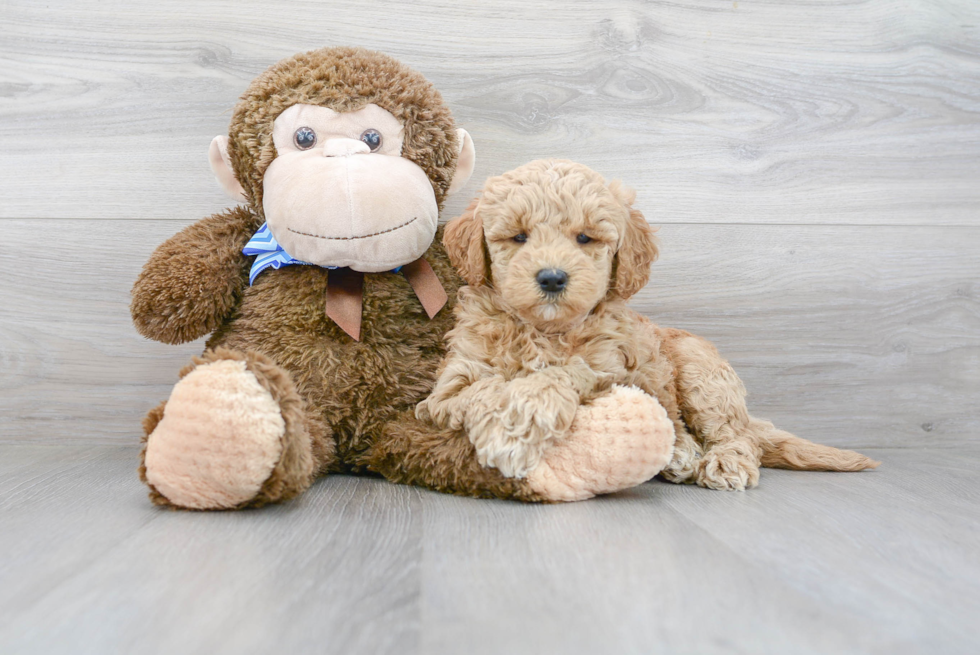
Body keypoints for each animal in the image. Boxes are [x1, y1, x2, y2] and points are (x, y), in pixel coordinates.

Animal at [416, 159, 880, 490]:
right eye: (519, 237)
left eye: (584, 238)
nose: (551, 278)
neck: (544, 331)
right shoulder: (446, 392)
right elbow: (487, 388)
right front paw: (512, 428)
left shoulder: (609, 369)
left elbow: (563, 373)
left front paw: (518, 425)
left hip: (700, 371)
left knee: (732, 432)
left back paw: (718, 460)